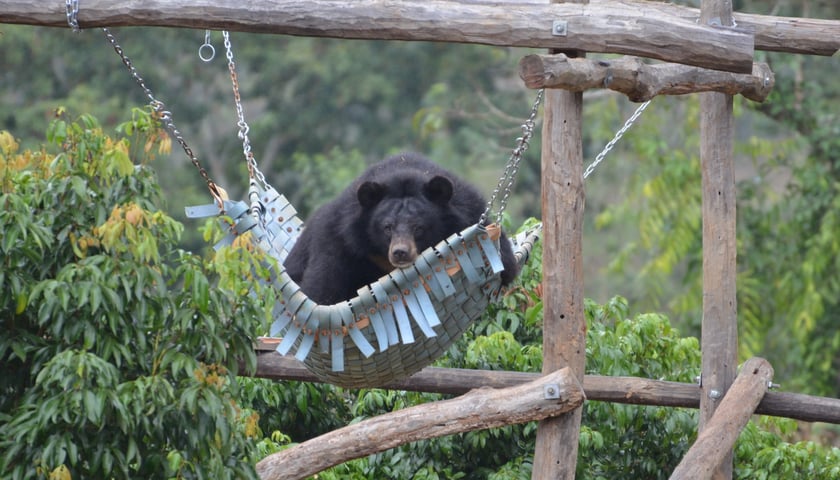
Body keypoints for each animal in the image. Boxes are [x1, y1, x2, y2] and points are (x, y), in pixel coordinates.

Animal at [283, 152, 519, 305]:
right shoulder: (339, 237)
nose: (400, 252)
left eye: (419, 227)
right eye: (387, 227)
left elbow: (506, 264)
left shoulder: (470, 213)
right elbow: (322, 290)